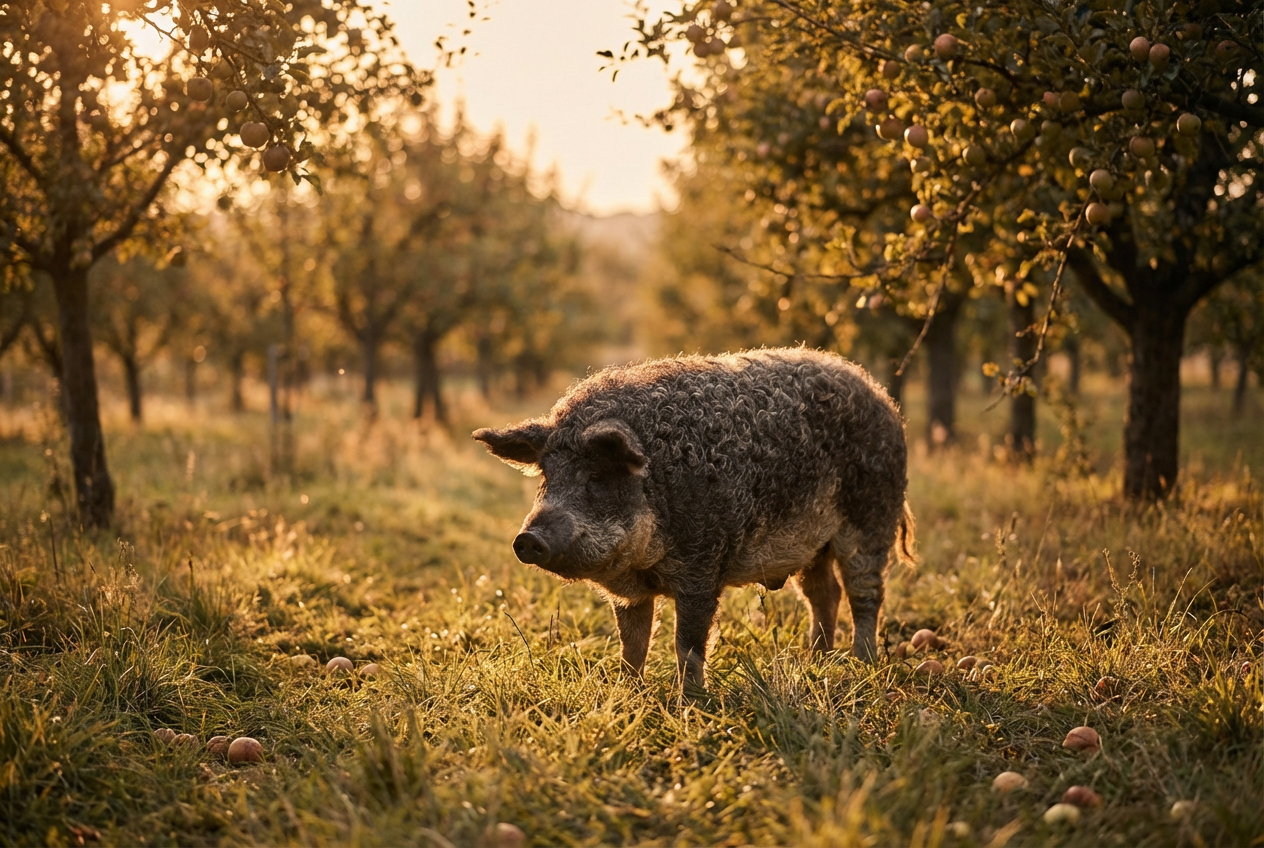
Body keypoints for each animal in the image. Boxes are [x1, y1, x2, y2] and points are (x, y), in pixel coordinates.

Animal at [472, 347, 915, 690]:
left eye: (596, 476)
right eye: (546, 476)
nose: (528, 539)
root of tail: (881, 397)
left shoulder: (703, 565)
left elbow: (687, 643)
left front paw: (690, 702)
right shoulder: (630, 591)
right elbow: (632, 642)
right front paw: (627, 691)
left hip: (871, 518)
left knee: (865, 593)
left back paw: (861, 664)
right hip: (812, 546)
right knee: (824, 594)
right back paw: (815, 661)